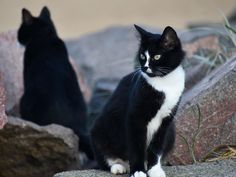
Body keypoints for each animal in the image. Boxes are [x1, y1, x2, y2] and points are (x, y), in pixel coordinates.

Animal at [90, 25, 184, 177]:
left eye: (157, 56)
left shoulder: (166, 121)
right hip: (100, 129)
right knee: (104, 156)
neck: (163, 82)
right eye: (142, 56)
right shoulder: (135, 117)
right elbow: (136, 145)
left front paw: (154, 170)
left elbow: (156, 146)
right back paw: (118, 166)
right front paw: (138, 171)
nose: (144, 67)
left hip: (172, 133)